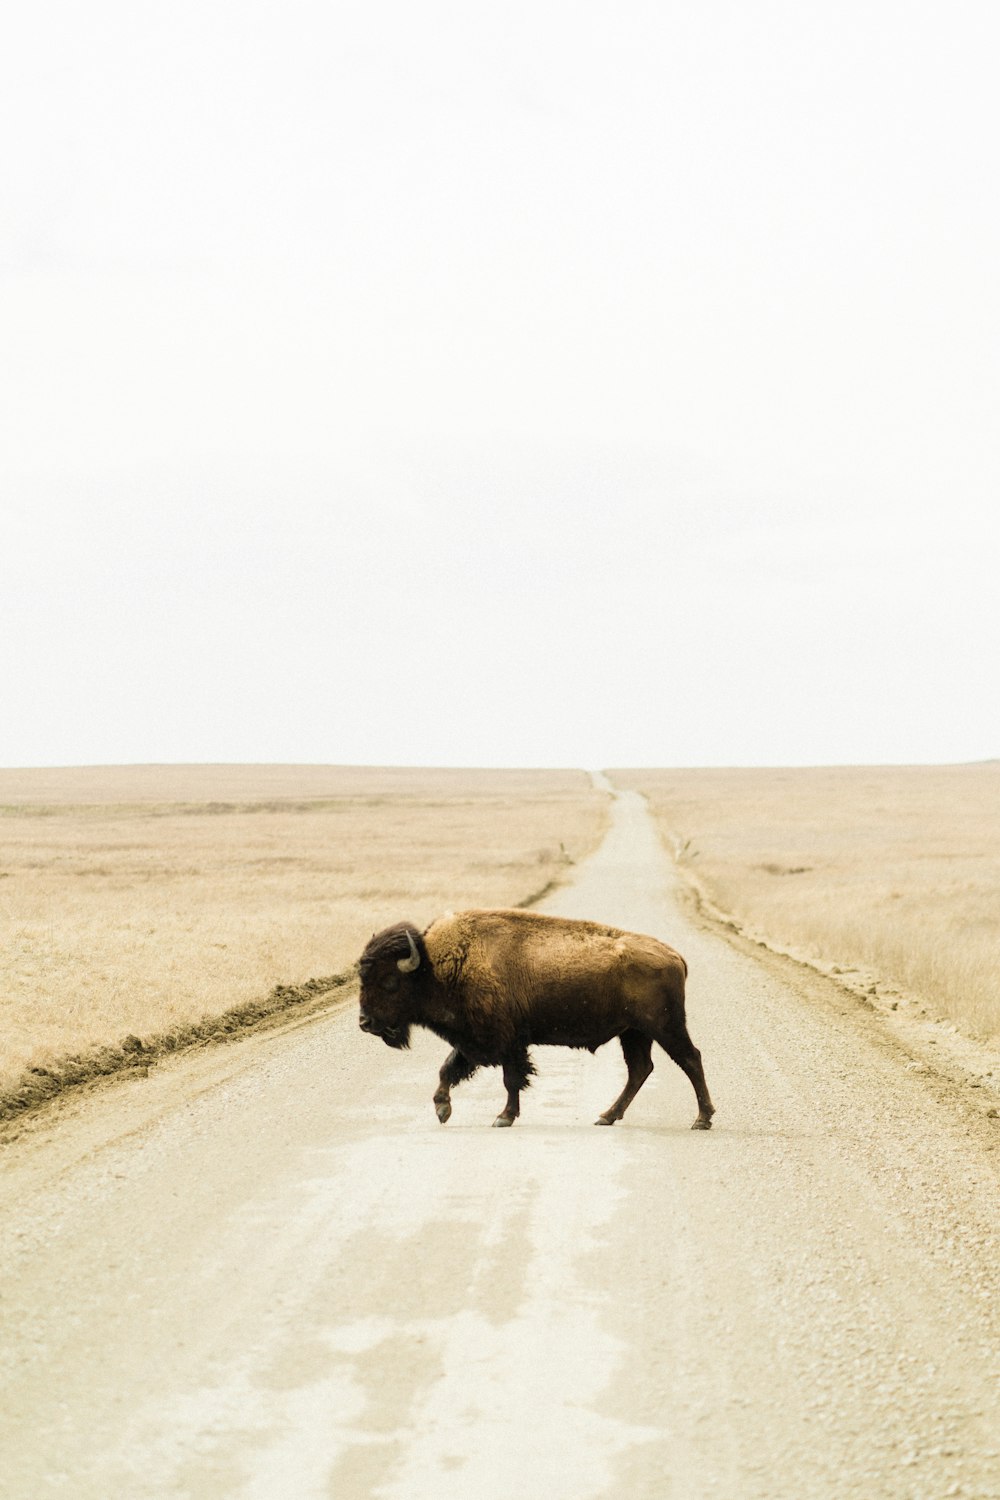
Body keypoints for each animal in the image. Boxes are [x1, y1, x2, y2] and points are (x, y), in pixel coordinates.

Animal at [355, 906, 716, 1128]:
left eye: (389, 981)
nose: (365, 1023)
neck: (437, 966)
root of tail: (675, 956)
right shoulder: (473, 1040)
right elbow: (448, 1069)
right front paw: (443, 1109)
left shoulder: (506, 1042)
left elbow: (510, 1079)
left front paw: (503, 1117)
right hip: (634, 1033)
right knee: (640, 1069)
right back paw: (606, 1116)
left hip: (664, 1026)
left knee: (690, 1059)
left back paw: (702, 1119)